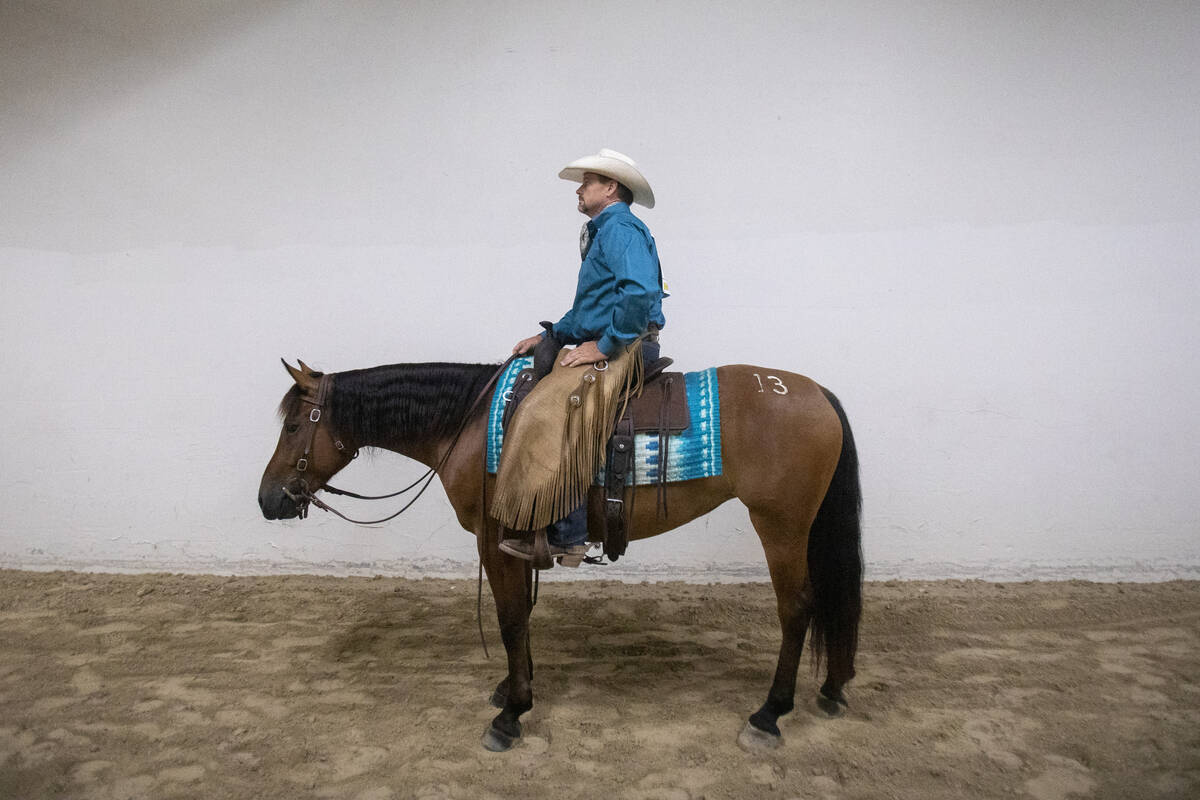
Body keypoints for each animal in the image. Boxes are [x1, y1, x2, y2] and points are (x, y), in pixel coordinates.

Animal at [260, 357, 864, 753]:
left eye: (291, 425)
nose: (269, 499)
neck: (471, 425)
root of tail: (815, 392)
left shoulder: (495, 541)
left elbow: (509, 619)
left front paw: (512, 714)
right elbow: (521, 618)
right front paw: (511, 688)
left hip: (780, 525)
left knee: (796, 609)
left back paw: (769, 714)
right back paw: (832, 689)